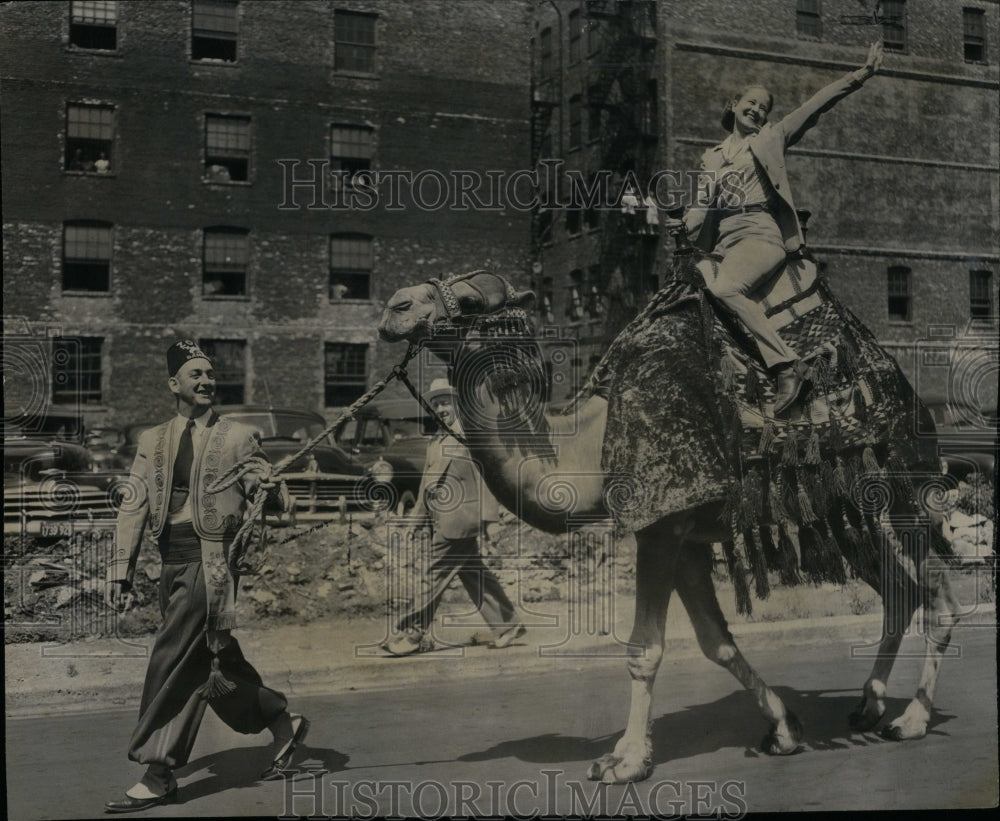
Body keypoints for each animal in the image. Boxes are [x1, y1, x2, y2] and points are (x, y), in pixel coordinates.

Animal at [376, 266, 960, 784]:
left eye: (471, 300)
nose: (394, 307)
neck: (588, 442)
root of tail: (912, 397)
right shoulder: (683, 536)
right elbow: (714, 642)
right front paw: (784, 728)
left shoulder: (660, 526)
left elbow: (644, 650)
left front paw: (625, 761)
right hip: (850, 518)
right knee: (899, 591)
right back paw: (869, 706)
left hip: (900, 491)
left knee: (935, 592)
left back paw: (911, 719)